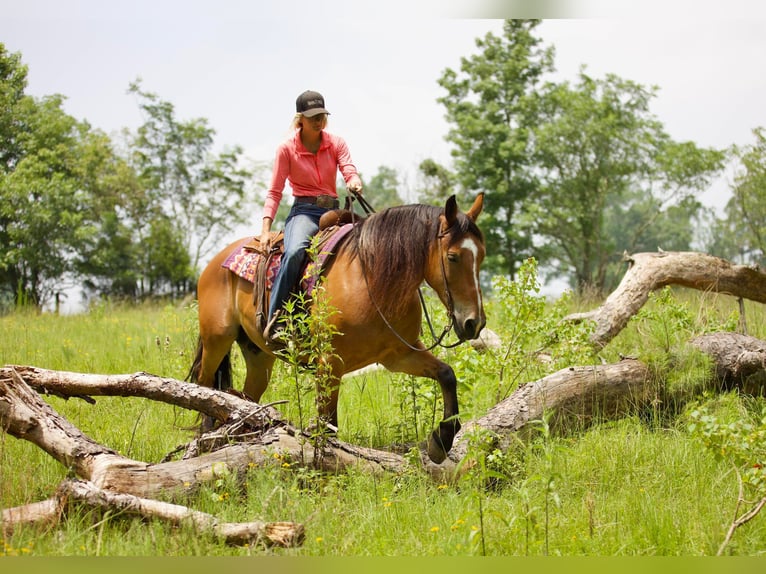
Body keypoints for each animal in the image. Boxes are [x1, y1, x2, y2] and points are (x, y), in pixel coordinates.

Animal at [188, 194, 486, 464]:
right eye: (453, 257)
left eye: (481, 256)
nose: (474, 322)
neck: (371, 279)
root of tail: (215, 262)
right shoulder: (329, 361)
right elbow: (328, 425)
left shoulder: (399, 356)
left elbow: (447, 374)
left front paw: (442, 439)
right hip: (217, 339)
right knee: (205, 385)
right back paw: (205, 438)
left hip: (258, 357)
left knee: (246, 397)